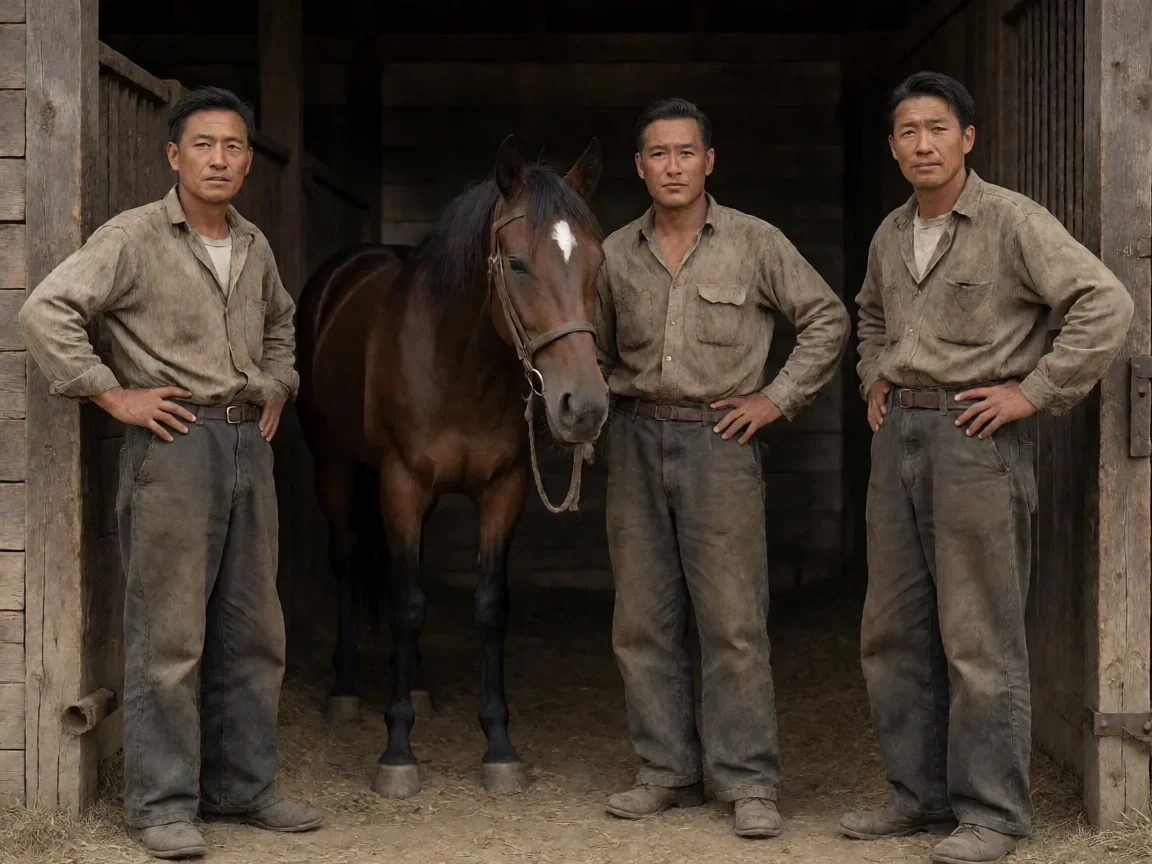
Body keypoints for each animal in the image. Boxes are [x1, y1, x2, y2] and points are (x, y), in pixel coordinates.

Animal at [296, 135, 609, 799]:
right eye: (517, 263)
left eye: (598, 263)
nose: (585, 407)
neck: (461, 363)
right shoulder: (400, 484)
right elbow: (407, 603)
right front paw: (397, 751)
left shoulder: (503, 490)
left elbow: (489, 607)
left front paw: (499, 746)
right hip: (334, 465)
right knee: (348, 560)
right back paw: (346, 687)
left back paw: (414, 681)